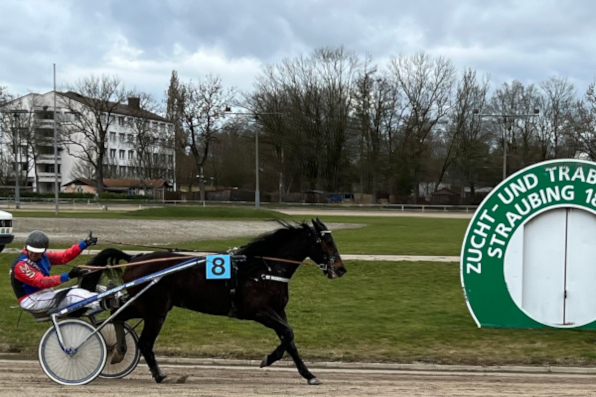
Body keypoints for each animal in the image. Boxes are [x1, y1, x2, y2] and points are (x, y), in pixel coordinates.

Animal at [86, 218, 346, 382]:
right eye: (327, 242)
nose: (341, 269)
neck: (263, 268)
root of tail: (134, 258)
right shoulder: (258, 311)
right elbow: (288, 333)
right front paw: (268, 359)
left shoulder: (278, 311)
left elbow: (289, 339)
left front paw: (309, 375)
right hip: (155, 310)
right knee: (144, 342)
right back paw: (158, 374)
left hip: (144, 306)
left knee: (118, 316)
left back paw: (118, 351)